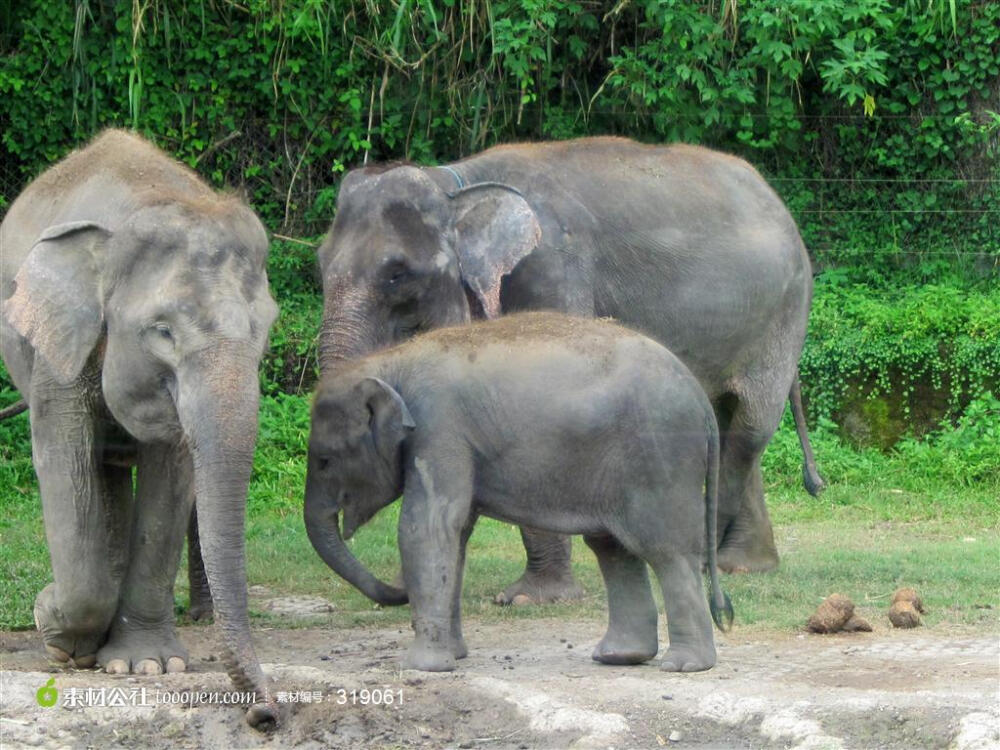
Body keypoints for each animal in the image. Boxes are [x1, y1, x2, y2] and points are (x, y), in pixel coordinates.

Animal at [0, 129, 278, 728]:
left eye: (265, 327)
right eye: (162, 331)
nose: (265, 715)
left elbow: (169, 479)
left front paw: (146, 665)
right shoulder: (58, 350)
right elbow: (62, 462)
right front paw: (53, 622)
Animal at [300, 312, 732, 676]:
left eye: (324, 460)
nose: (397, 590)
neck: (390, 362)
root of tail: (701, 399)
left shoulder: (438, 428)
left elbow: (427, 527)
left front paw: (423, 667)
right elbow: (456, 534)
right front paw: (454, 656)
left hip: (659, 457)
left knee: (665, 551)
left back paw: (684, 666)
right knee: (613, 549)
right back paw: (620, 657)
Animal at [318, 135, 820, 604]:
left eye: (397, 274)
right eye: (319, 265)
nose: (396, 589)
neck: (456, 185)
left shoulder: (552, 274)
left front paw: (531, 597)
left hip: (785, 312)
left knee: (749, 426)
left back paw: (706, 560)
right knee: (727, 420)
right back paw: (744, 564)